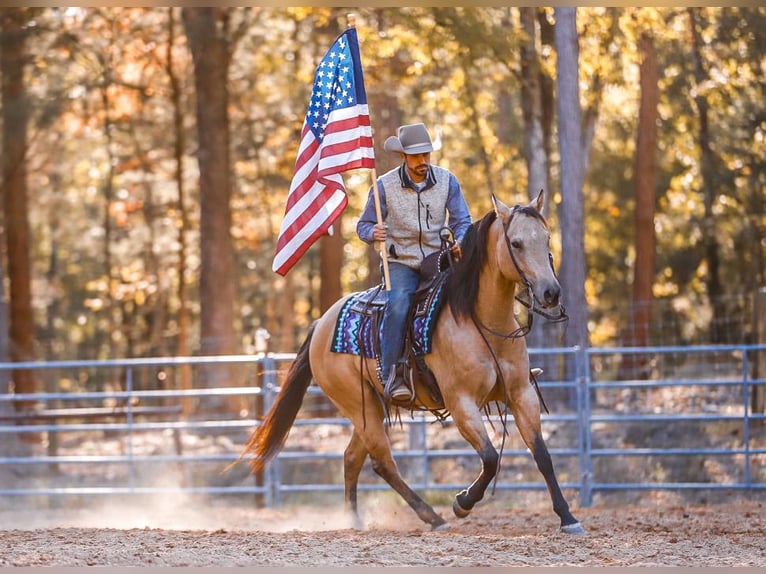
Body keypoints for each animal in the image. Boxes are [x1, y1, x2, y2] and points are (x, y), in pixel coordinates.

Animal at [240, 192, 588, 536]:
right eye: (515, 243)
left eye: (546, 238)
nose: (550, 292)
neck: (478, 318)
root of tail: (321, 324)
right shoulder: (461, 403)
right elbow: (490, 458)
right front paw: (462, 503)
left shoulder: (521, 394)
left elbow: (542, 455)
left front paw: (568, 517)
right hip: (357, 405)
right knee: (383, 462)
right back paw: (432, 517)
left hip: (370, 406)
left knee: (352, 458)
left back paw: (356, 519)